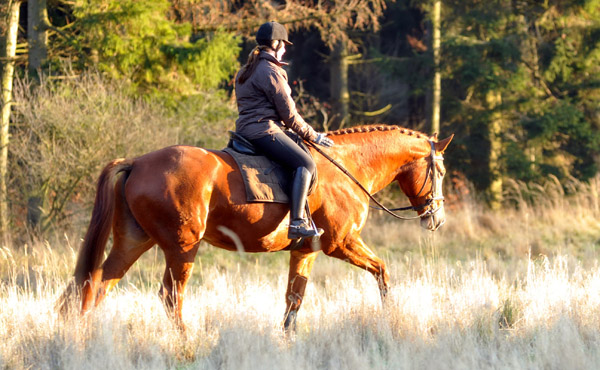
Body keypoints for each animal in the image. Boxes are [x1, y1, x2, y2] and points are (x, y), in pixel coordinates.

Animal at [61, 125, 452, 332]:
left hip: (133, 242)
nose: (437, 219)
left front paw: (287, 340)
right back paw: (186, 342)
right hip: (182, 247)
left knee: (95, 284)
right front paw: (391, 317)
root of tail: (138, 162)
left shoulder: (306, 251)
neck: (346, 168)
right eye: (440, 171)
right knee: (171, 297)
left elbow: (294, 299)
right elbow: (383, 271)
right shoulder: (342, 243)